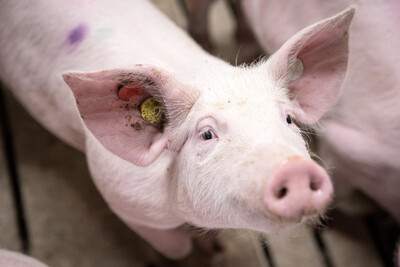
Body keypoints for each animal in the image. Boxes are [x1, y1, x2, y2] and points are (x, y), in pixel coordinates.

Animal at [0, 0, 354, 260]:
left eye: (289, 119)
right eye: (207, 134)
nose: (293, 169)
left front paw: (217, 247)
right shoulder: (119, 194)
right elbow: (177, 247)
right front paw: (202, 252)